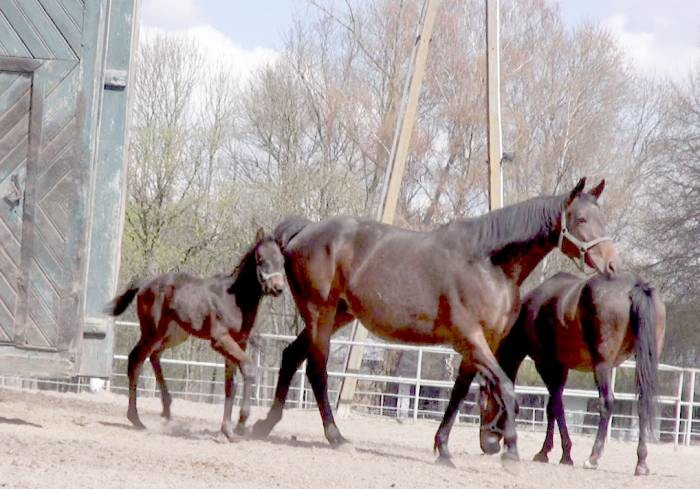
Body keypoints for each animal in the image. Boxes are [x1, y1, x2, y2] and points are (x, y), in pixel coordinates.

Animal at [104, 229, 284, 438]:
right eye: (261, 259)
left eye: (281, 260)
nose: (278, 288)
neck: (234, 300)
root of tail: (146, 283)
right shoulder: (220, 340)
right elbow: (247, 368)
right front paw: (240, 423)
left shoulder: (239, 342)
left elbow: (230, 384)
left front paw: (227, 430)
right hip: (152, 332)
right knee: (136, 360)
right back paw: (136, 419)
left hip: (174, 334)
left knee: (155, 355)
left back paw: (166, 410)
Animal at [252, 177, 616, 464]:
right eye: (581, 218)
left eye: (603, 218)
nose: (612, 265)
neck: (487, 263)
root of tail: (305, 230)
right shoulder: (471, 339)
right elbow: (505, 387)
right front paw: (511, 453)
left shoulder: (479, 344)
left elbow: (459, 393)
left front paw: (443, 449)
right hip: (320, 314)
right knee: (316, 371)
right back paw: (336, 437)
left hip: (337, 314)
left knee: (291, 356)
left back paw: (265, 424)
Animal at [478, 268, 664, 474]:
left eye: (483, 406)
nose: (485, 446)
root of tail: (636, 285)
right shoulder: (562, 368)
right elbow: (554, 407)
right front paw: (556, 453)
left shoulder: (547, 365)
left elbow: (554, 406)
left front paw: (553, 453)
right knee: (642, 404)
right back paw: (641, 462)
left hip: (602, 365)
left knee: (606, 403)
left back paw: (593, 458)